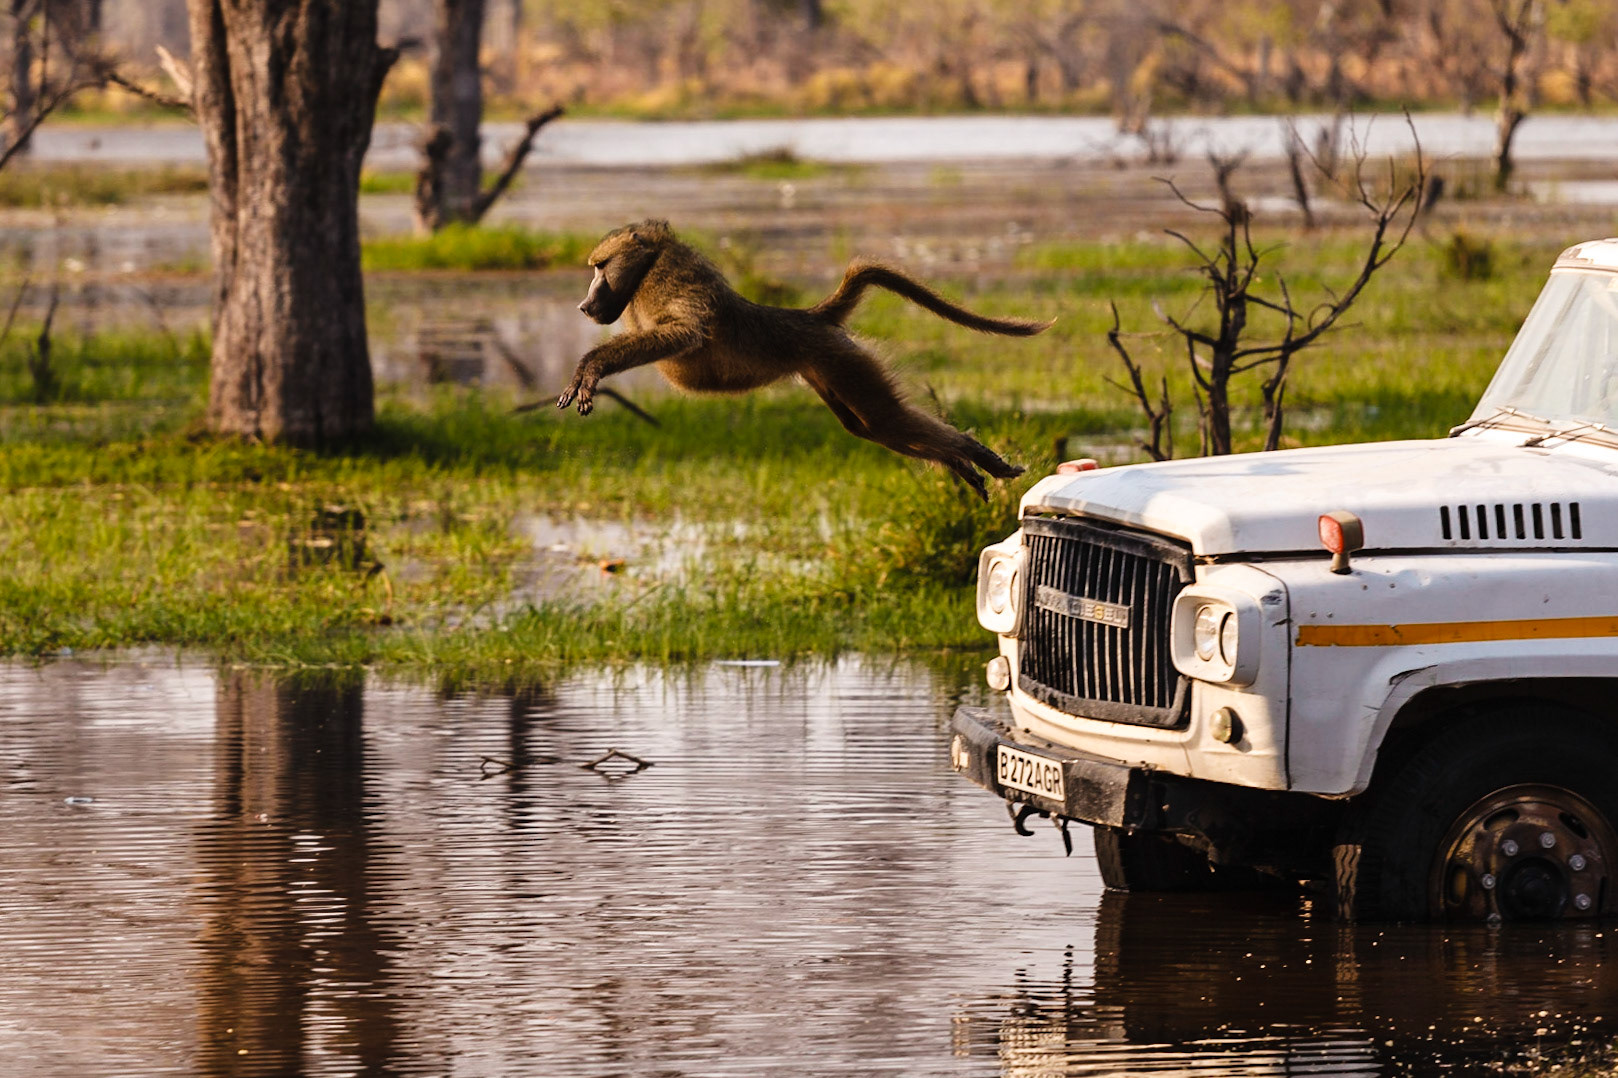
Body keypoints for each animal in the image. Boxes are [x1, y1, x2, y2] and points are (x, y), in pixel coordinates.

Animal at [557, 219, 1052, 500]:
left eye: (600, 267)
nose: (582, 305)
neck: (649, 265)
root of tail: (811, 317)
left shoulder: (672, 283)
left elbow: (684, 332)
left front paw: (589, 370)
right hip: (826, 370)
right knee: (871, 428)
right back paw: (962, 464)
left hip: (841, 361)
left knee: (884, 419)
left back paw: (977, 455)